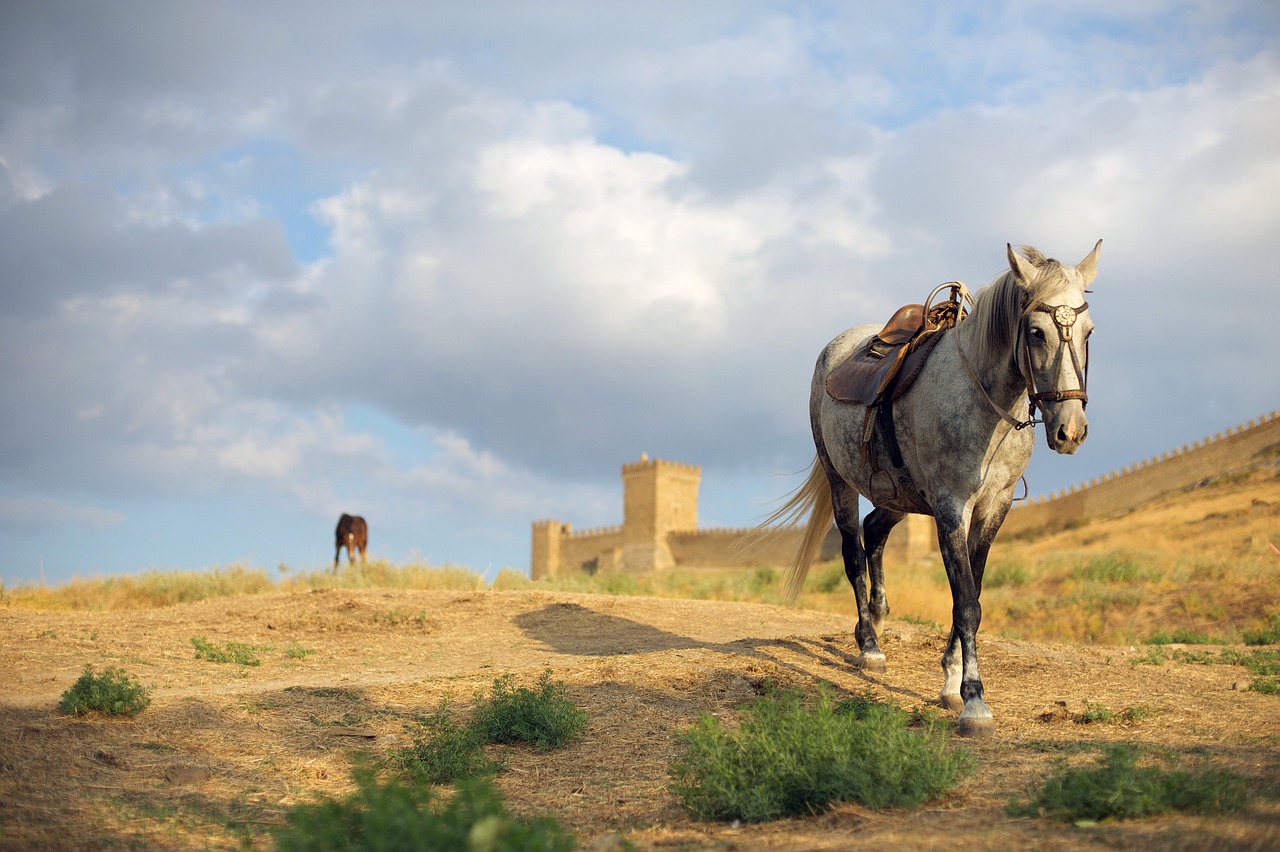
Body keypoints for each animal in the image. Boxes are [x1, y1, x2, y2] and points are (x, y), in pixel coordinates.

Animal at [768, 241, 1100, 731]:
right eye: (1037, 332)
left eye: (1089, 332)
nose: (1070, 430)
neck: (984, 402)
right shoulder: (950, 508)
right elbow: (966, 603)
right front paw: (974, 701)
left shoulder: (993, 509)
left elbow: (972, 594)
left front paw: (950, 682)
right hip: (841, 481)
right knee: (853, 552)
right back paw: (869, 646)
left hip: (897, 495)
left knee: (875, 531)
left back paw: (877, 620)